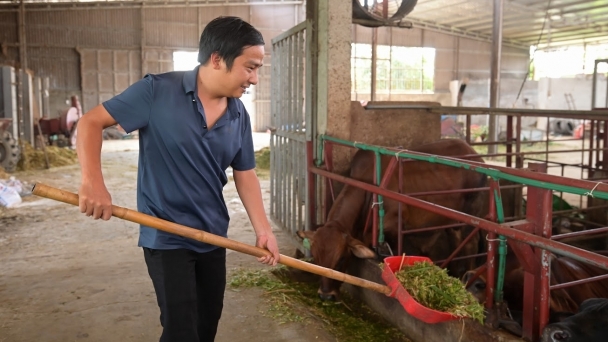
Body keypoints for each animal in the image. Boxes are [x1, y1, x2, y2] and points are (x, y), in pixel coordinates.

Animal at [296, 138, 486, 300]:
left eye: (341, 259)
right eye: (316, 257)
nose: (326, 295)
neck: (367, 186)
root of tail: (476, 155)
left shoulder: (393, 229)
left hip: (469, 217)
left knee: (471, 244)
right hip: (451, 222)